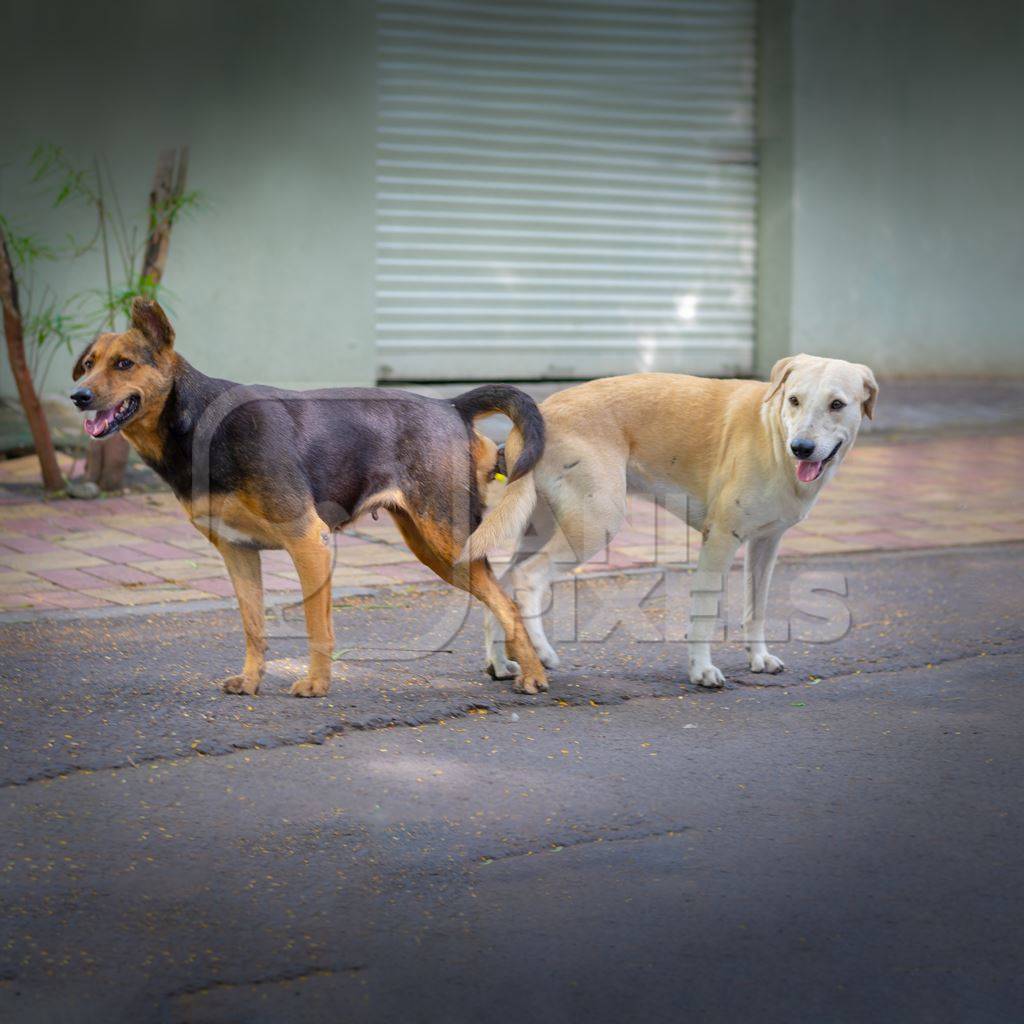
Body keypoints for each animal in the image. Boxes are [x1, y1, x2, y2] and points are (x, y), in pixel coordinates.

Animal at [70, 296, 552, 696]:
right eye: (89, 364)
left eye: (124, 364)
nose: (78, 396)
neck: (200, 421)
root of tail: (450, 405)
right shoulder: (237, 551)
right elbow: (253, 626)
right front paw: (251, 680)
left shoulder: (308, 541)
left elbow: (316, 626)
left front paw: (316, 685)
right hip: (434, 548)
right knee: (501, 597)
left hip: (447, 538)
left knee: (507, 602)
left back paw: (532, 673)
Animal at [468, 356, 876, 692]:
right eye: (794, 400)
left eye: (837, 404)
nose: (802, 448)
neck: (772, 433)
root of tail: (539, 413)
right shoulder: (720, 539)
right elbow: (705, 611)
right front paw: (701, 670)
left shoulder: (766, 544)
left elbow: (756, 608)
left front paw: (758, 658)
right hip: (595, 522)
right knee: (528, 577)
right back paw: (540, 651)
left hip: (544, 526)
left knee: (502, 584)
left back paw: (501, 663)